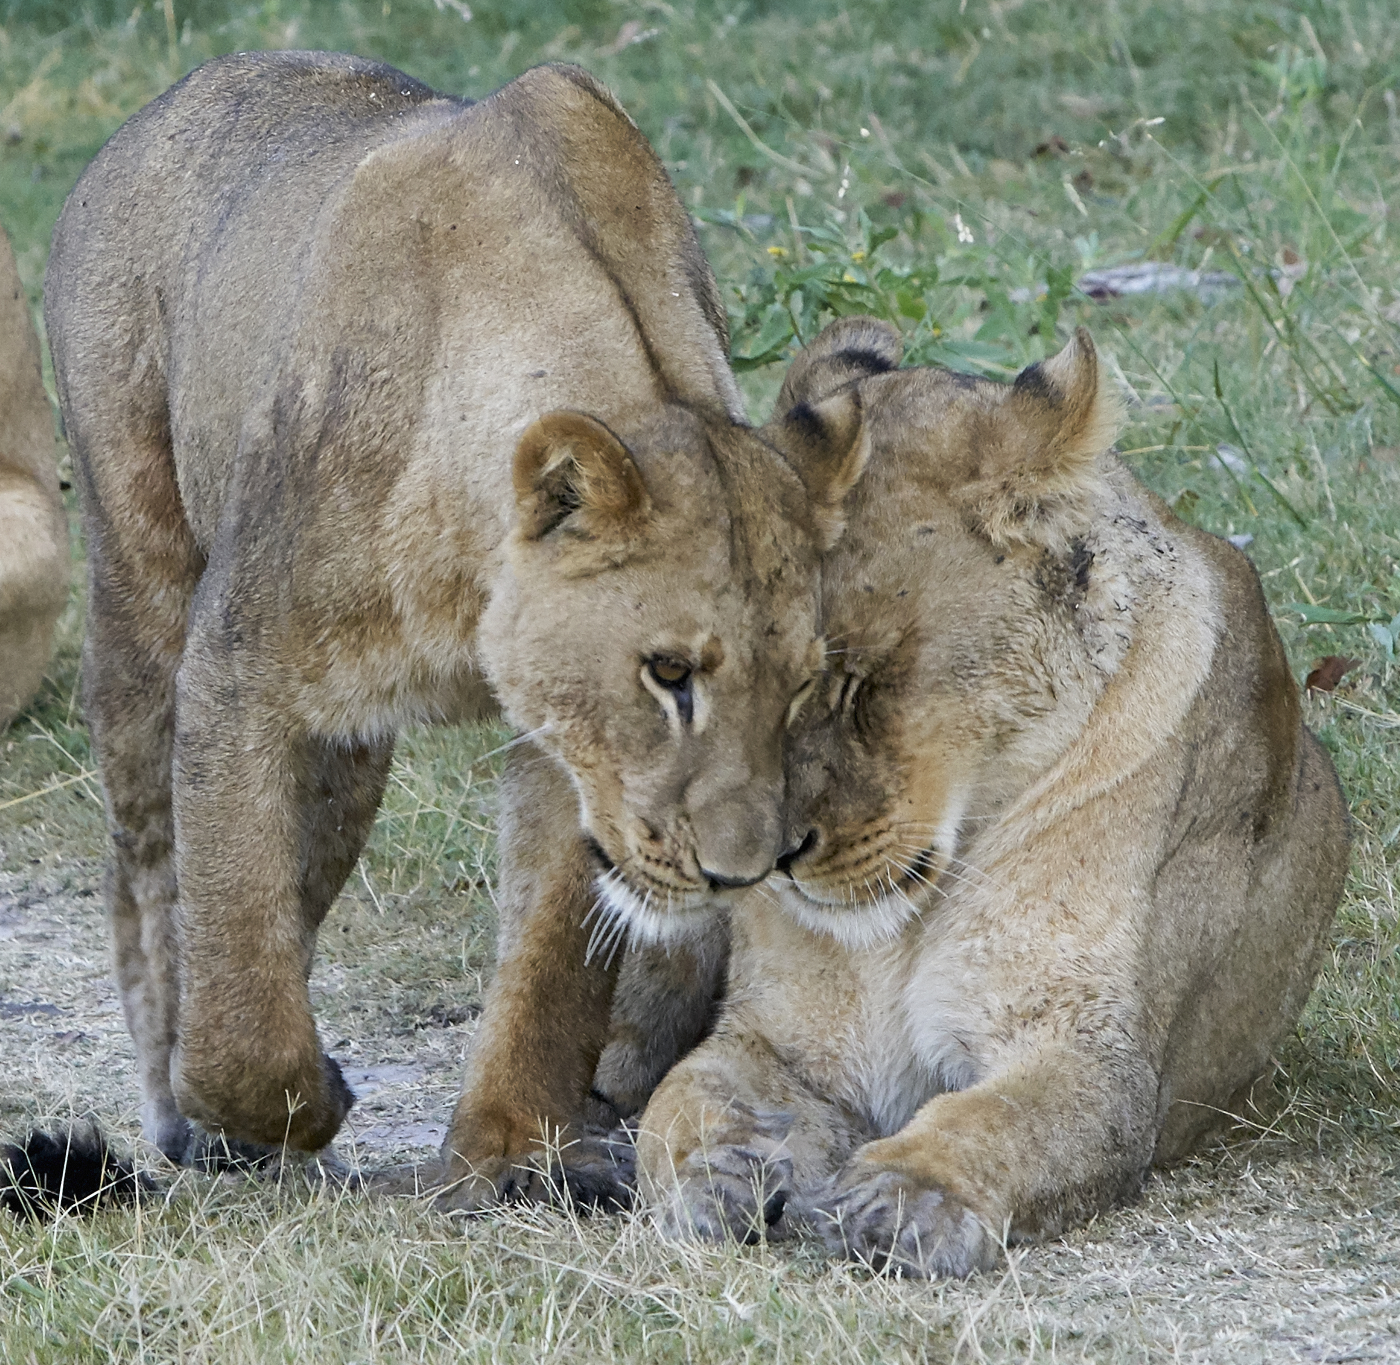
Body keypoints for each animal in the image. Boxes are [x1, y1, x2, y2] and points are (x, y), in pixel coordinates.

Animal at [46, 53, 862, 1181]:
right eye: (668, 673)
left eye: (803, 688)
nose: (737, 876)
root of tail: (177, 93)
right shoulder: (234, 666)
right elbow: (234, 949)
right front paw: (275, 1100)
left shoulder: (566, 744)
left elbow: (549, 954)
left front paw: (505, 1149)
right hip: (140, 577)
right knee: (149, 865)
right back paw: (181, 1114)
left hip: (345, 758)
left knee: (299, 878)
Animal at [632, 317, 1344, 1271]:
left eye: (859, 681)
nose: (765, 859)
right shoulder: (781, 1036)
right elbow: (682, 1095)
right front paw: (715, 1173)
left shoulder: (1092, 1055)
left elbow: (997, 1117)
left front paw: (904, 1196)